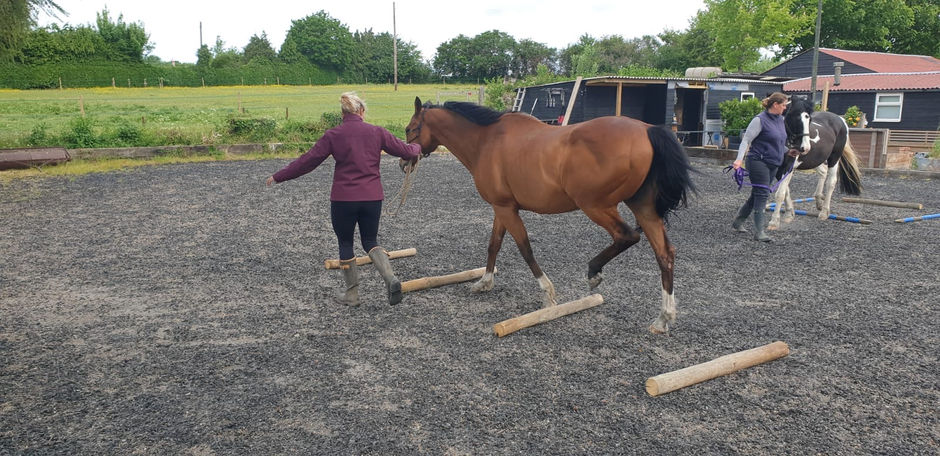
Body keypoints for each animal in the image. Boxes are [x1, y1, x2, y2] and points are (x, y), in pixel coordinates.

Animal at [404, 98, 696, 334]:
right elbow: (494, 245)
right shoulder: (502, 207)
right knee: (664, 255)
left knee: (627, 236)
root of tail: (646, 129)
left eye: (408, 129)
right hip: (642, 208)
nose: (404, 163)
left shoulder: (505, 209)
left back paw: (594, 272)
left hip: (596, 206)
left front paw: (547, 294)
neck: (486, 141)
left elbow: (524, 249)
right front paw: (484, 282)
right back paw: (663, 318)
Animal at [768, 98, 862, 229]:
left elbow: (780, 193)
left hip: (834, 158)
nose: (805, 148)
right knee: (823, 173)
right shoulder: (779, 169)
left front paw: (774, 221)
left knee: (831, 182)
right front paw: (789, 214)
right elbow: (786, 190)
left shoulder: (788, 166)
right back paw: (818, 201)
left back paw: (824, 212)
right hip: (817, 160)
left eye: (809, 119)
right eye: (794, 116)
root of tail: (841, 120)